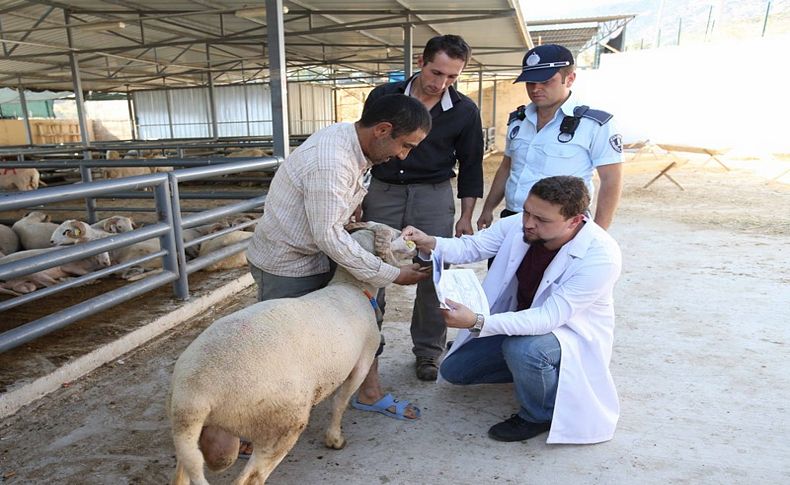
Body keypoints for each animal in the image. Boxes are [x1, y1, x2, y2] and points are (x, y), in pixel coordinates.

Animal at [169, 222, 418, 484]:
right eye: (394, 235)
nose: (412, 239)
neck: (352, 287)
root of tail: (193, 398)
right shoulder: (362, 361)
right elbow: (340, 402)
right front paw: (335, 439)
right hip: (279, 423)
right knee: (252, 477)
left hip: (193, 438)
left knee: (184, 471)